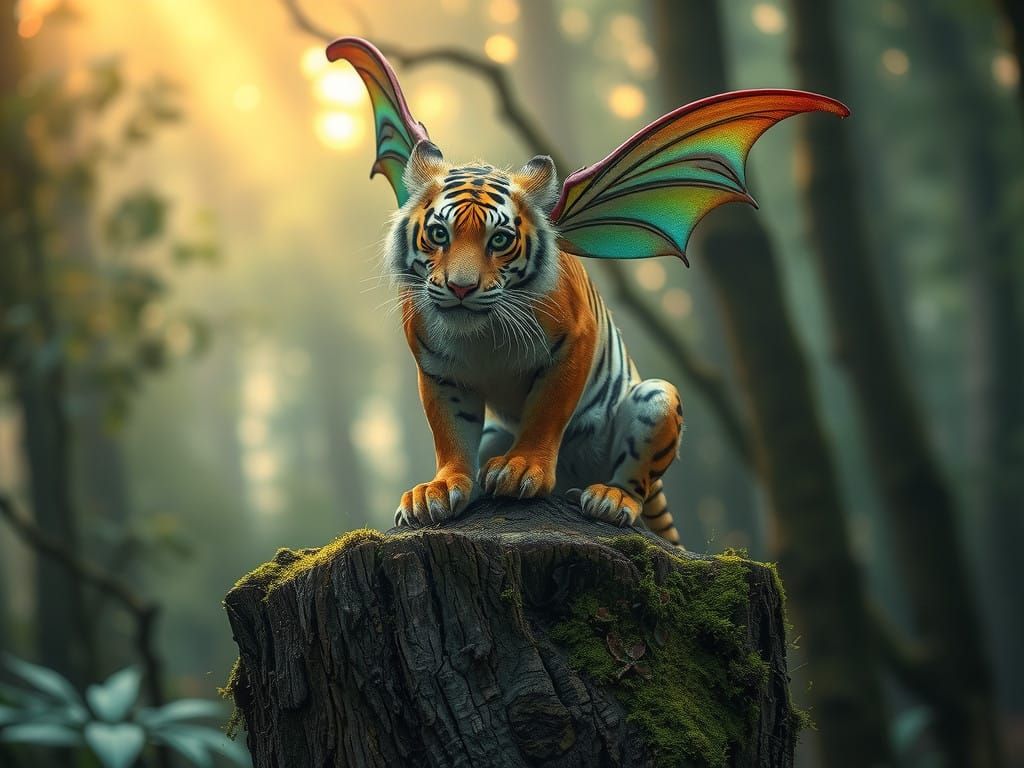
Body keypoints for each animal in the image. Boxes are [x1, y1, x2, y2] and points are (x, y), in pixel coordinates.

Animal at [388, 140, 684, 545]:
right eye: (439, 234)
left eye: (499, 239)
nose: (461, 288)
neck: (480, 331)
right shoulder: (438, 372)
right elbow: (450, 432)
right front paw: (440, 489)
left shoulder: (573, 341)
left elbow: (546, 411)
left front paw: (520, 469)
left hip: (656, 397)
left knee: (635, 482)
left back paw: (609, 499)